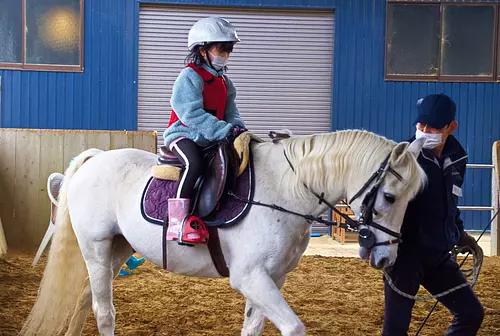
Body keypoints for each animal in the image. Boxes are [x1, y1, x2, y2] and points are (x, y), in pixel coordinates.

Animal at [19, 130, 426, 336]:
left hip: (117, 250)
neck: (286, 190)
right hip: (97, 247)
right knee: (103, 311)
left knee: (85, 301)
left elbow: (253, 329)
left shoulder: (272, 278)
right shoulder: (249, 277)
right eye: (390, 196)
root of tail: (95, 158)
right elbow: (293, 328)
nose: (387, 256)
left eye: (411, 199)